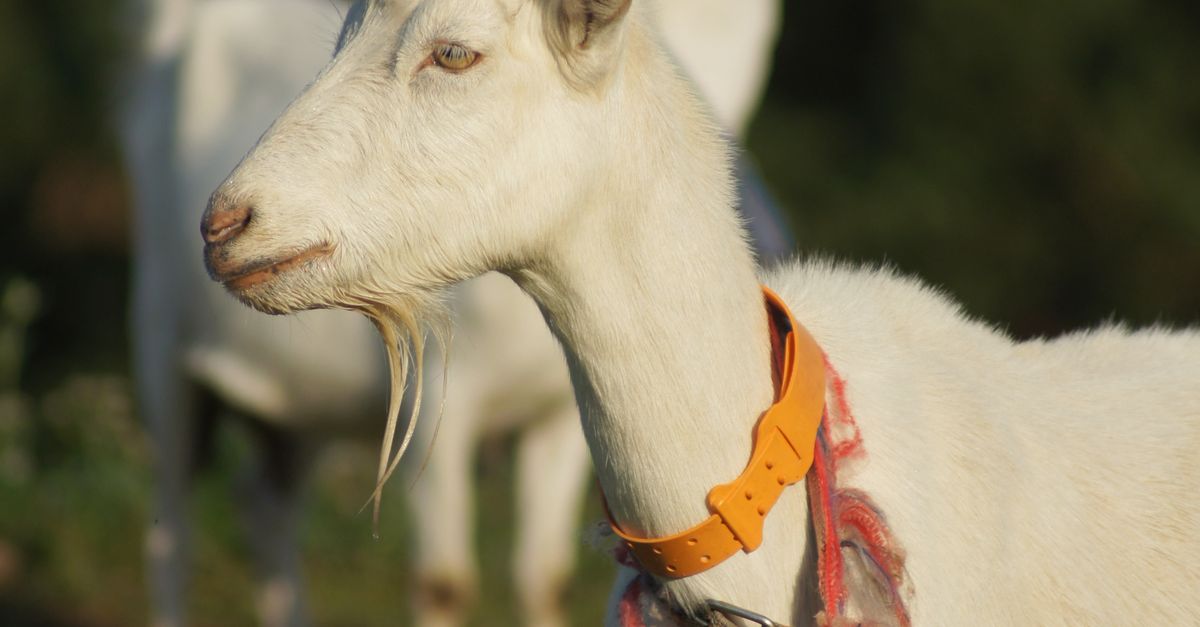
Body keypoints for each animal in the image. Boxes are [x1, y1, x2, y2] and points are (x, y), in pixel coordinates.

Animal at [121, 0, 785, 625]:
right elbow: (443, 584)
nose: (225, 222)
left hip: (300, 401)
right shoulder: (443, 395)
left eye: (453, 54)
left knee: (264, 503)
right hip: (159, 331)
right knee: (170, 530)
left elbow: (545, 577)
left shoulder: (559, 418)